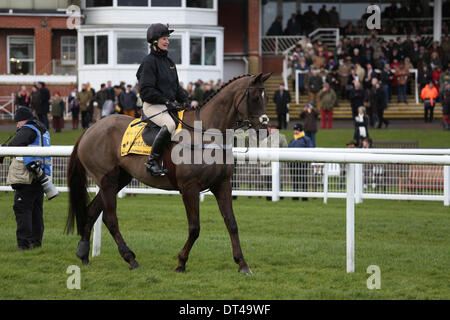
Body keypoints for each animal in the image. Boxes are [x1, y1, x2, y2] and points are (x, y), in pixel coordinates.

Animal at [65, 72, 272, 272]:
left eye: (266, 97)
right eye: (255, 98)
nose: (265, 129)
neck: (206, 135)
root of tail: (89, 129)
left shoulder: (222, 185)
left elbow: (232, 224)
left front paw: (242, 263)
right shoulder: (189, 188)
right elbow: (194, 228)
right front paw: (181, 262)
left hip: (118, 179)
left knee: (92, 211)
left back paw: (83, 253)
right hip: (107, 180)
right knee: (110, 218)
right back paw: (130, 258)